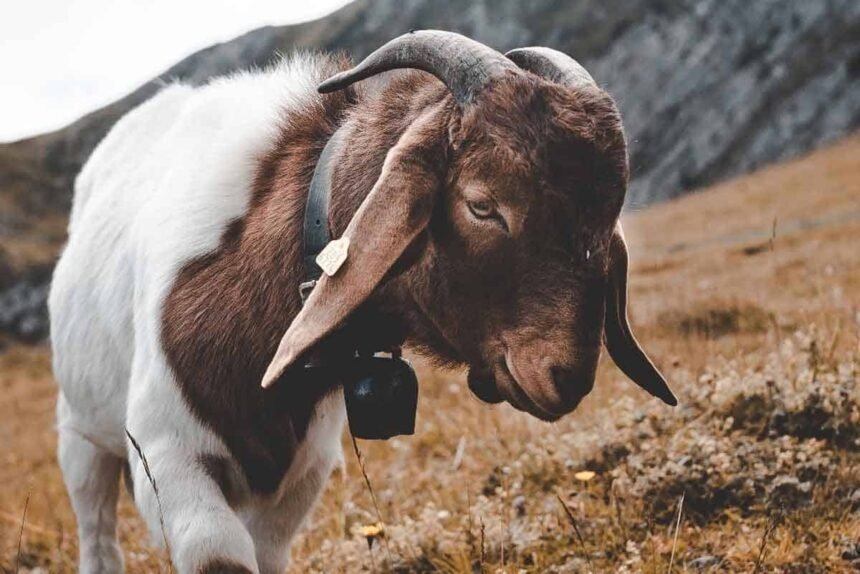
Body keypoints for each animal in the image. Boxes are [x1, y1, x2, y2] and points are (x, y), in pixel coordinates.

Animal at [49, 30, 676, 573]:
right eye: (482, 205)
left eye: (606, 217)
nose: (565, 376)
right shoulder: (165, 454)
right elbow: (218, 554)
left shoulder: (303, 473)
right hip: (81, 439)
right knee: (97, 533)